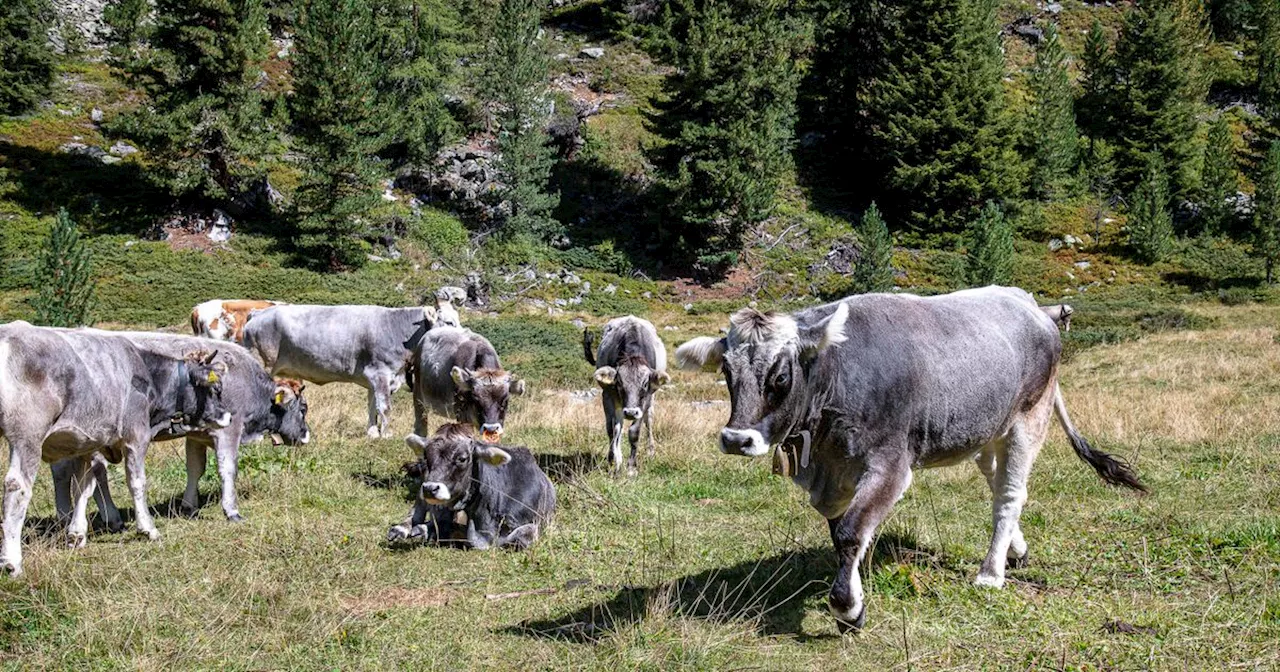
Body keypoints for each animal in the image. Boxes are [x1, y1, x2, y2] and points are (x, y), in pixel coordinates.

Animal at [0, 322, 232, 573]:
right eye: (216, 388)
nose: (228, 416)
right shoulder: (136, 436)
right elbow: (137, 482)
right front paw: (148, 528)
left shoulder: (85, 443)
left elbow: (84, 487)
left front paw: (76, 534)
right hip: (27, 437)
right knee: (17, 486)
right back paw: (12, 561)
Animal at [240, 300, 440, 437]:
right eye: (445, 320)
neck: (396, 328)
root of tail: (258, 313)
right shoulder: (380, 373)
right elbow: (385, 407)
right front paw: (386, 435)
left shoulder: (373, 380)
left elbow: (372, 405)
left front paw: (373, 434)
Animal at [586, 317, 675, 473]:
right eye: (620, 383)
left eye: (645, 384)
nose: (631, 412)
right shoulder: (608, 396)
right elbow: (612, 429)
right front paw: (613, 460)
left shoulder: (645, 400)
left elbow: (634, 432)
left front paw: (631, 467)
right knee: (618, 427)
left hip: (650, 401)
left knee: (648, 421)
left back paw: (650, 451)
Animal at [675, 285, 1146, 632]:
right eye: (727, 372)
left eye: (781, 376)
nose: (736, 439)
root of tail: (1030, 303)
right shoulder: (837, 474)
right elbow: (842, 532)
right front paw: (856, 592)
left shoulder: (890, 464)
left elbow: (850, 532)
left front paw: (847, 609)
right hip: (984, 431)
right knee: (998, 483)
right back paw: (1016, 549)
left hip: (1030, 417)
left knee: (1011, 494)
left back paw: (991, 572)